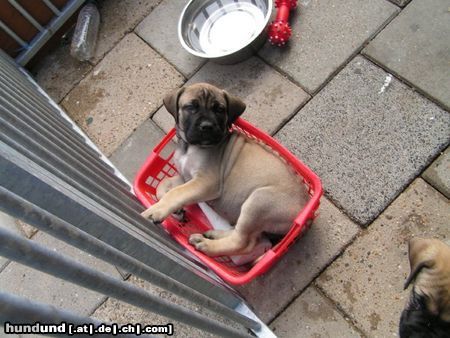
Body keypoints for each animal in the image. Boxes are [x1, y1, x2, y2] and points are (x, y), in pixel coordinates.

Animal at [142, 84, 310, 256]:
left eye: (220, 109)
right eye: (191, 107)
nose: (207, 126)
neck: (189, 147)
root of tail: (305, 211)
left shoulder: (205, 182)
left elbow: (176, 192)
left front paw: (156, 210)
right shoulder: (187, 177)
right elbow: (164, 183)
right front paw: (174, 209)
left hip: (258, 202)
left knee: (242, 242)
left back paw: (206, 244)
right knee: (245, 235)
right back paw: (213, 234)